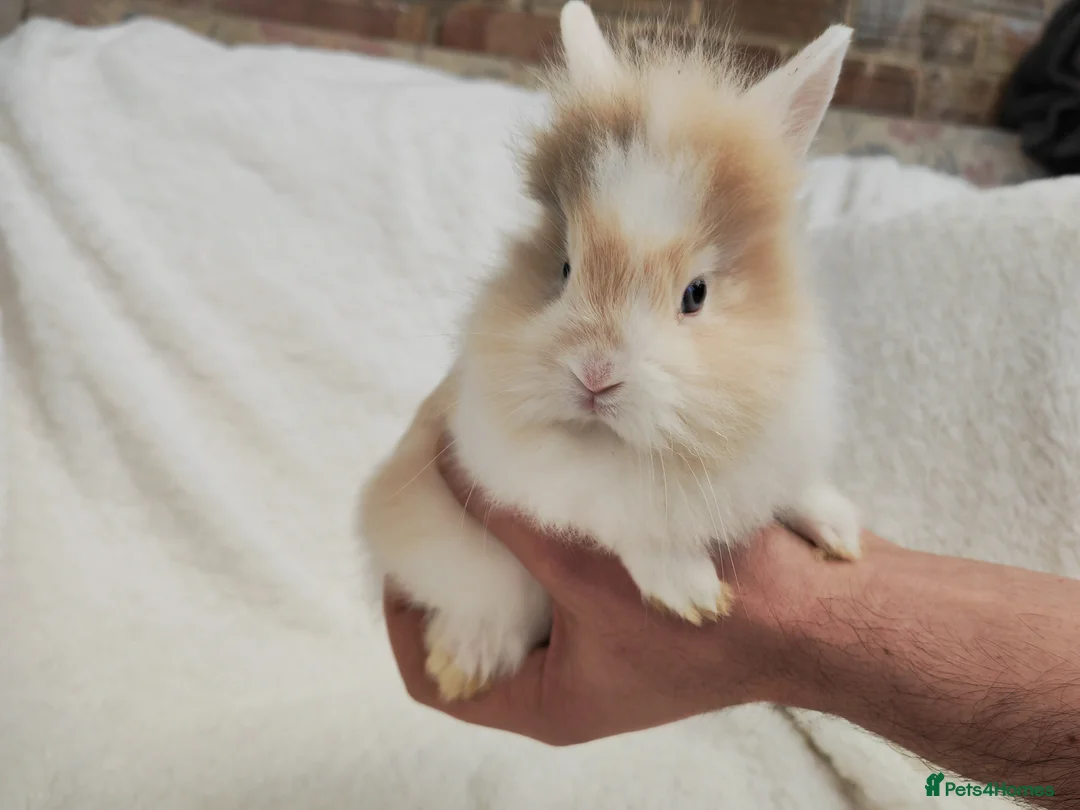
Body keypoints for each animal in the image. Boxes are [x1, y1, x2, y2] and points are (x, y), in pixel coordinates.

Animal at [359, 0, 861, 702]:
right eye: (564, 268)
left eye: (696, 294)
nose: (595, 376)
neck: (622, 444)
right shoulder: (526, 471)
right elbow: (619, 519)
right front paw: (690, 592)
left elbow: (790, 488)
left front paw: (841, 530)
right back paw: (465, 660)